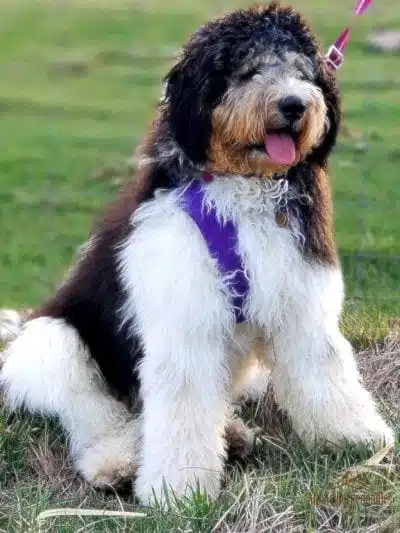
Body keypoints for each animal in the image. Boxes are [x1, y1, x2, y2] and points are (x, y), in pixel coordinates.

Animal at [0, 3, 394, 502]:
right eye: (248, 70)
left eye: (302, 73)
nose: (294, 105)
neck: (242, 184)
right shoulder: (184, 316)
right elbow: (183, 404)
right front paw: (177, 488)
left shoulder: (301, 299)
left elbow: (325, 370)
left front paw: (356, 440)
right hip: (56, 343)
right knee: (94, 411)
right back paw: (116, 459)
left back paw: (233, 433)